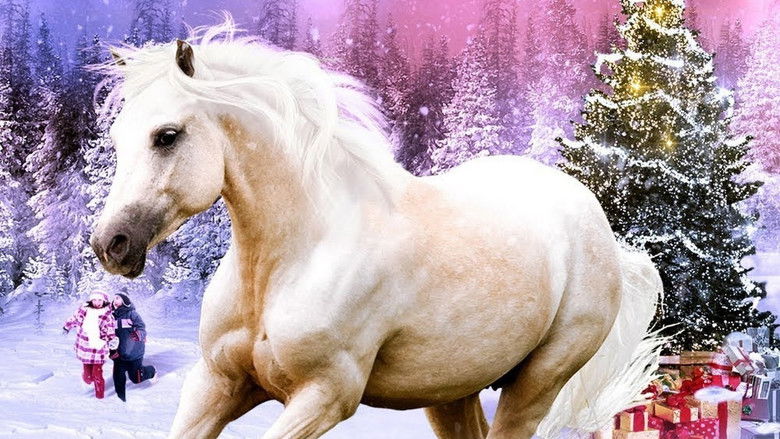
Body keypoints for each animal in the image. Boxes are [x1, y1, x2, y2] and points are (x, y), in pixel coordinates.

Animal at [90, 19, 663, 439]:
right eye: (116, 138)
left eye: (167, 135)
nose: (109, 244)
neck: (288, 261)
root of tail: (596, 222)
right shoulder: (215, 383)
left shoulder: (327, 394)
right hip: (451, 390)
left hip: (538, 382)